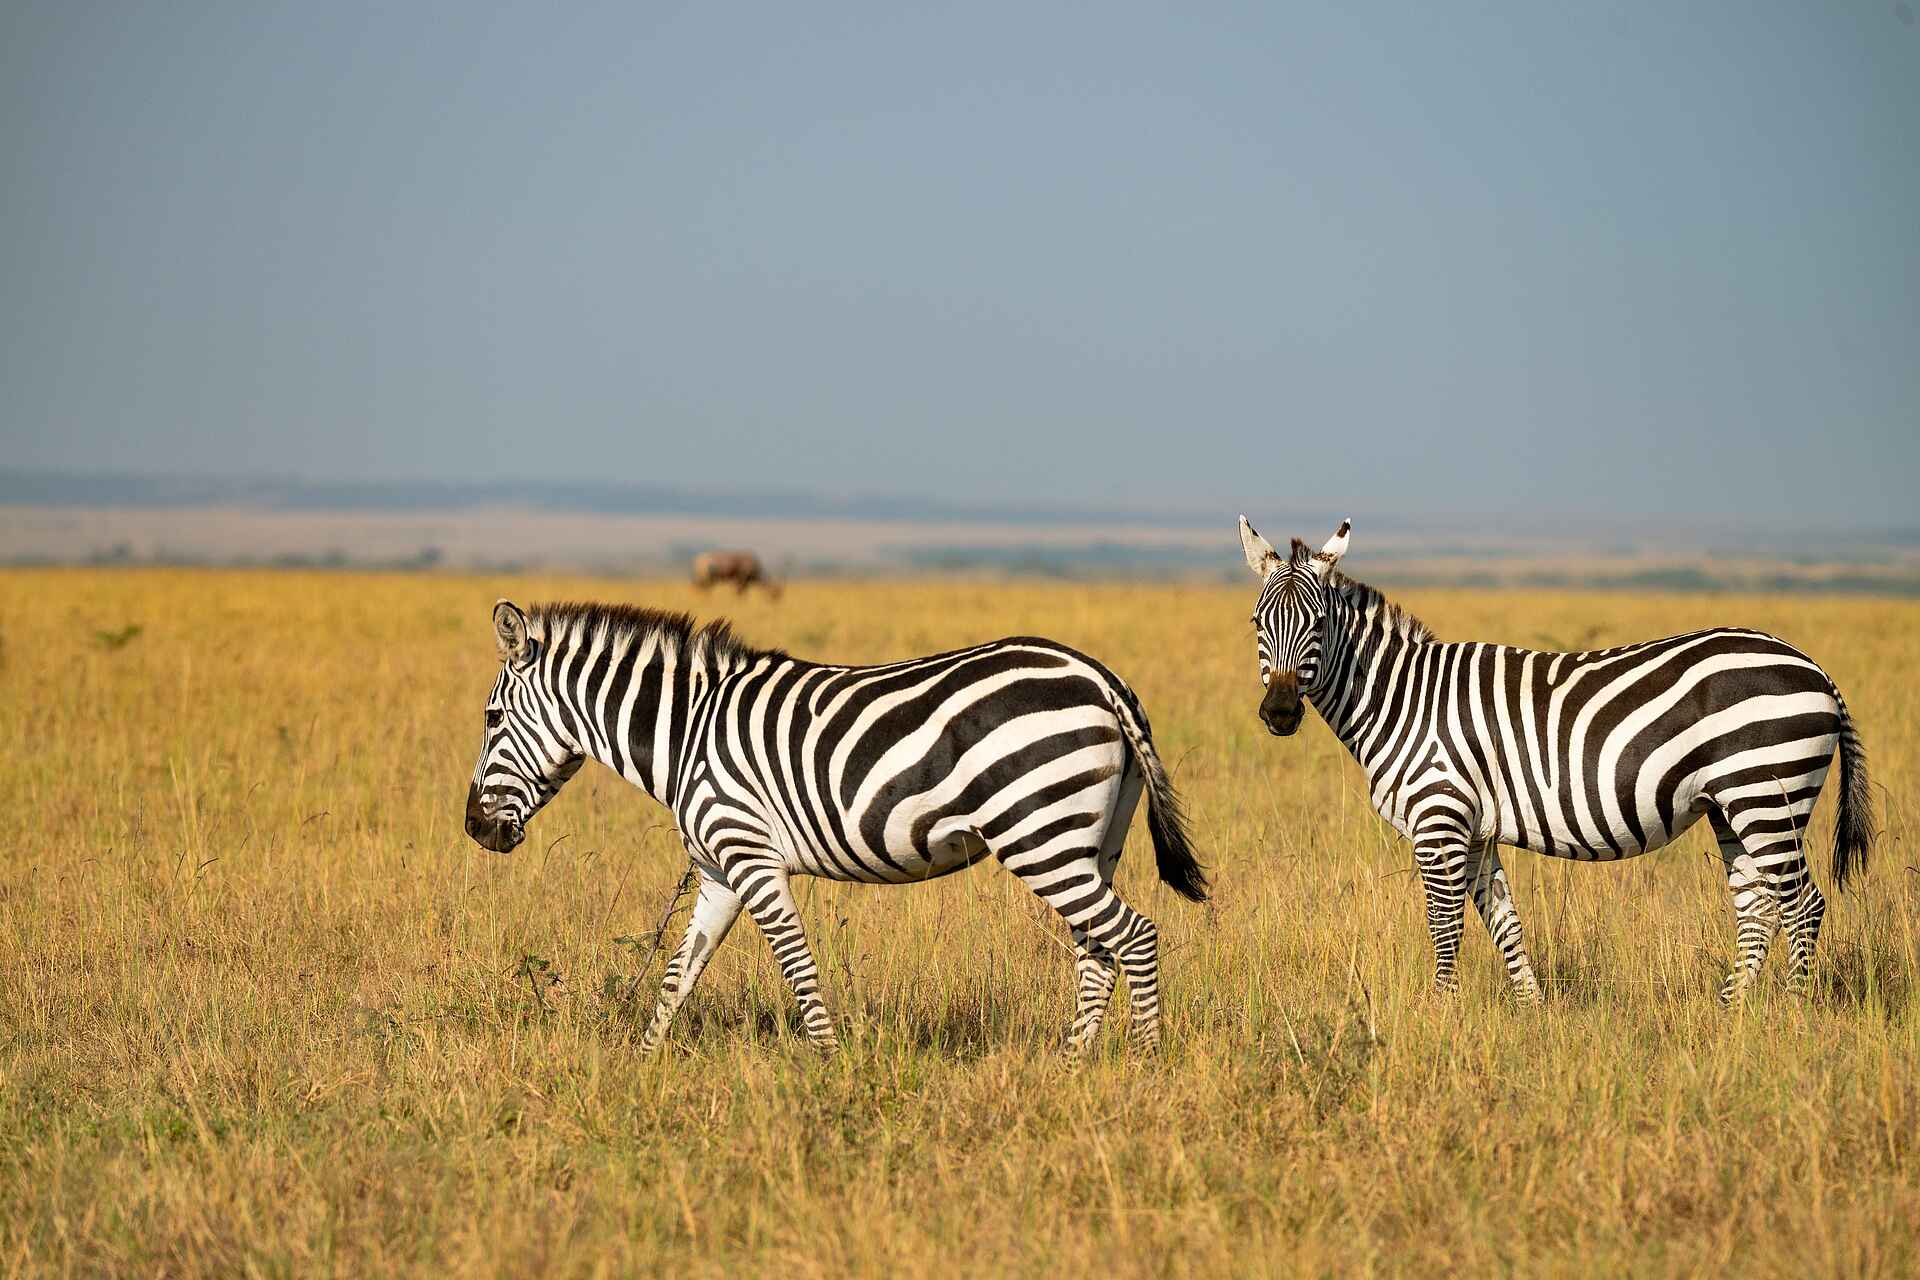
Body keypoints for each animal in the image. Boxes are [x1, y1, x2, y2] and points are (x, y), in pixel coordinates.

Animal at [465, 599, 1208, 1053]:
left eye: (492, 718)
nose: (473, 829)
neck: (688, 732)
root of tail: (1100, 675)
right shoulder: (717, 871)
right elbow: (680, 973)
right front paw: (643, 1066)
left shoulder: (750, 855)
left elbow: (795, 962)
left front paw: (826, 1061)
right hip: (1089, 843)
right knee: (1098, 950)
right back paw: (1073, 1063)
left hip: (1038, 835)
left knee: (1134, 936)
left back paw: (1143, 1062)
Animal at [1237, 516, 1874, 1004]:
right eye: (1257, 622)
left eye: (1319, 622)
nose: (1280, 713)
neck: (1402, 698)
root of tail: (1815, 668)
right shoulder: (1474, 830)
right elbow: (1504, 925)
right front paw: (1533, 1013)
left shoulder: (1439, 819)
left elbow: (1445, 926)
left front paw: (1441, 1013)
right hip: (1733, 805)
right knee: (1758, 907)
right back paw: (1731, 1014)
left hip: (1765, 793)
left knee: (1803, 905)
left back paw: (1792, 1013)